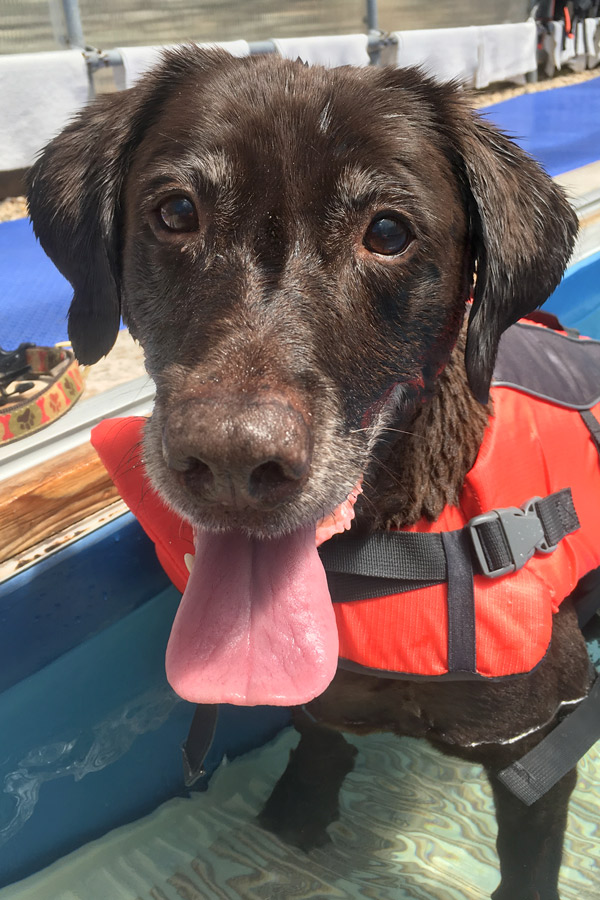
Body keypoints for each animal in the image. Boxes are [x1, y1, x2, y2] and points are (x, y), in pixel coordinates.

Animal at [28, 51, 592, 900]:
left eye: (387, 232)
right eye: (176, 212)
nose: (232, 461)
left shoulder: (534, 743)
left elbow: (528, 862)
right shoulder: (326, 702)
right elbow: (319, 745)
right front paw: (298, 810)